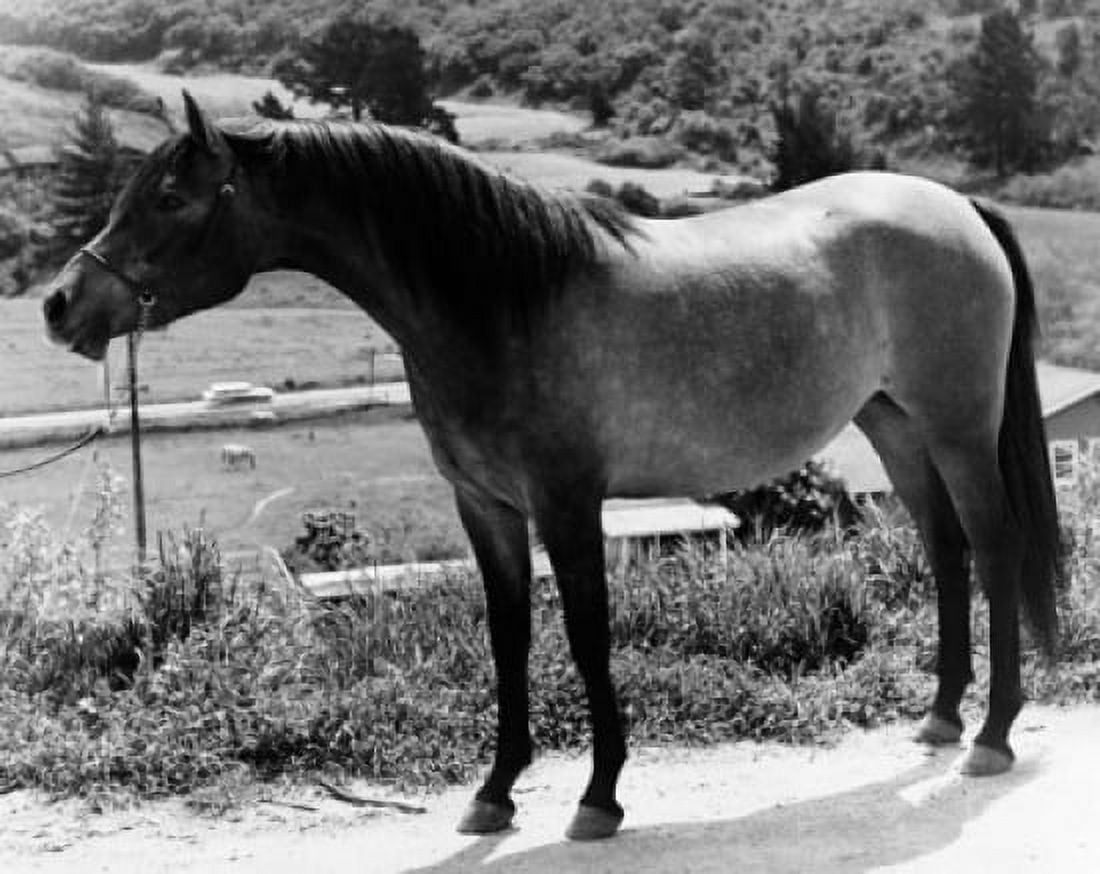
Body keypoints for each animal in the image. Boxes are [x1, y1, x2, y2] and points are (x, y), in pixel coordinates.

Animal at [42, 92, 1060, 841]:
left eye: (171, 200)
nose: (60, 304)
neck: (503, 296)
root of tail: (957, 206)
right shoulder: (485, 508)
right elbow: (509, 639)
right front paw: (494, 792)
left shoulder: (568, 504)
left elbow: (585, 637)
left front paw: (599, 796)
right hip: (894, 425)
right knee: (945, 551)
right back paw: (941, 718)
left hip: (959, 427)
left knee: (995, 547)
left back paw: (993, 736)